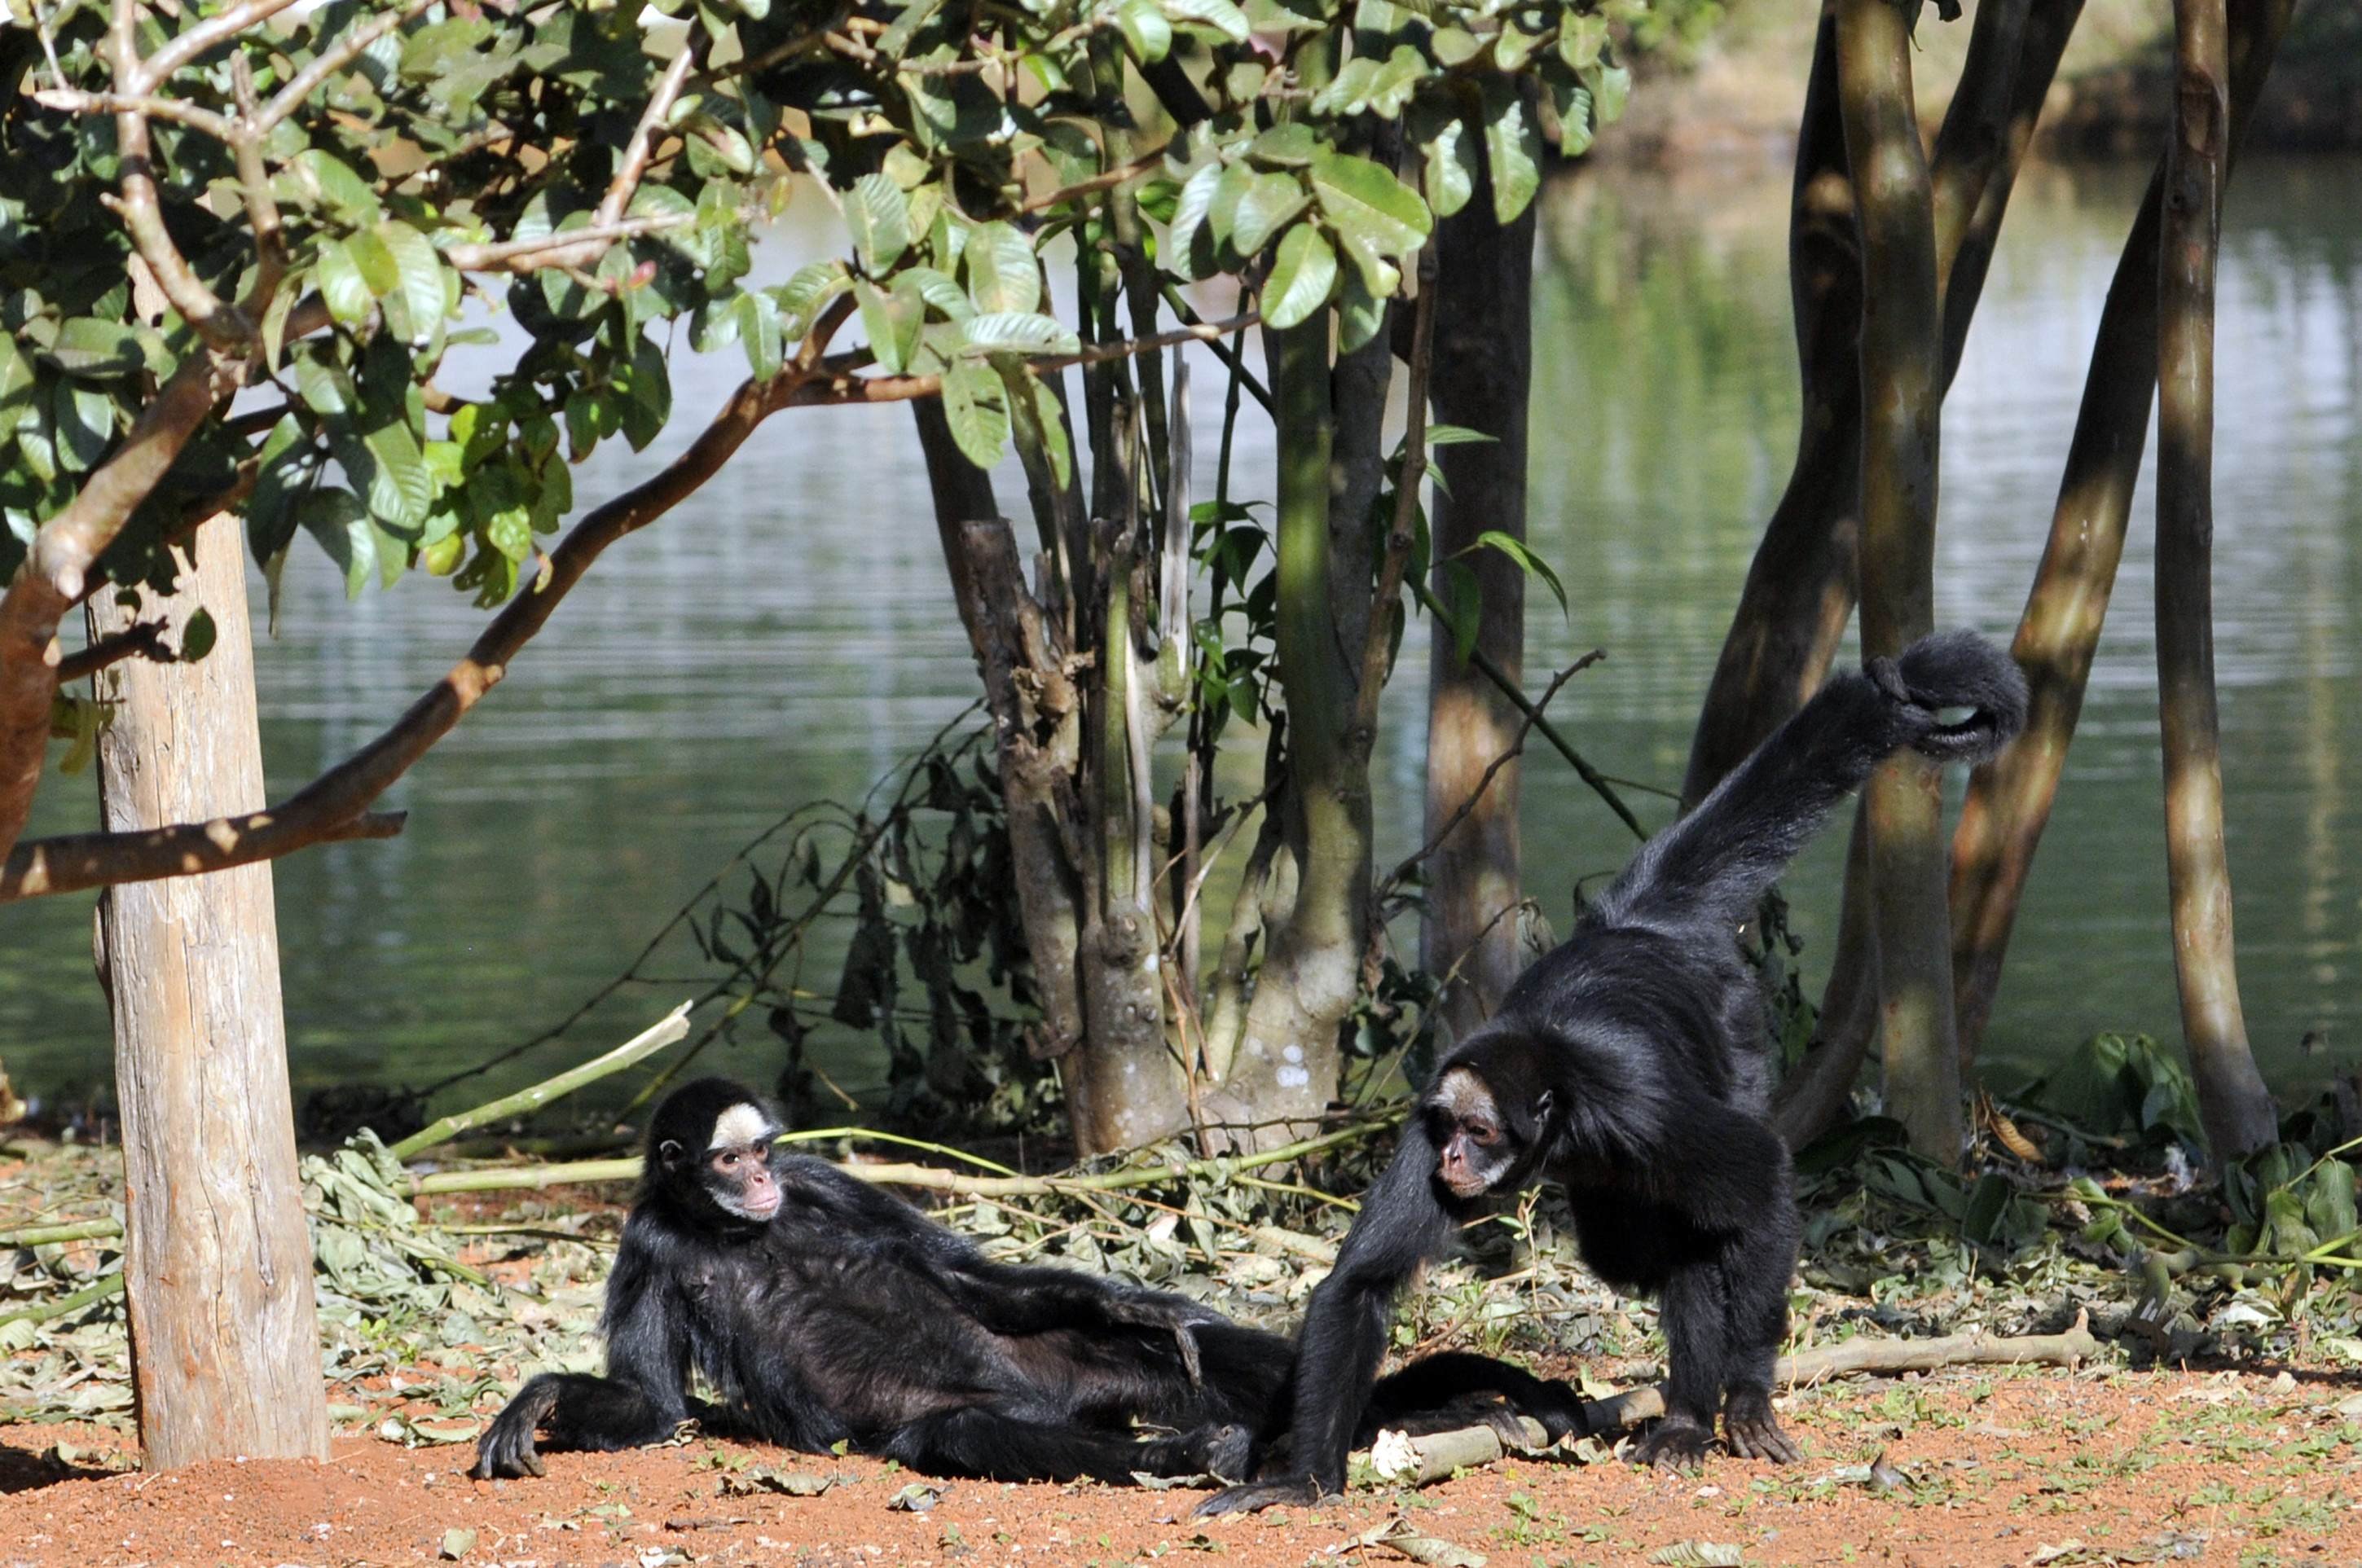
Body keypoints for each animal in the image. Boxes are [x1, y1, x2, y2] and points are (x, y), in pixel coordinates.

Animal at [473, 1077, 1589, 1485]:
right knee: (966, 1428)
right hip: (998, 1400)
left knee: (1187, 1349)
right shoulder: (648, 1243)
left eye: (763, 1155)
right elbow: (654, 1405)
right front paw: (549, 1397)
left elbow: (963, 1274)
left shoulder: (821, 1180)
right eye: (724, 1160)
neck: (732, 1228)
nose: (754, 1183)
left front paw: (1128, 1296)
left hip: (1060, 1358)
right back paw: (1194, 1447)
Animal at [1199, 630, 2028, 1513]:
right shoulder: (1430, 1111)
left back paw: (1694, 1414)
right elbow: (1359, 1282)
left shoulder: (1640, 1109)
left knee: (1699, 1225)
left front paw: (1748, 1394)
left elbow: (1762, 1176)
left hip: (1733, 1028)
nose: (1455, 1157)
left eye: (1480, 1130)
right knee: (1631, 1247)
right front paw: (1303, 1479)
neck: (1559, 1098)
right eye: (1451, 1129)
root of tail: (1637, 926)